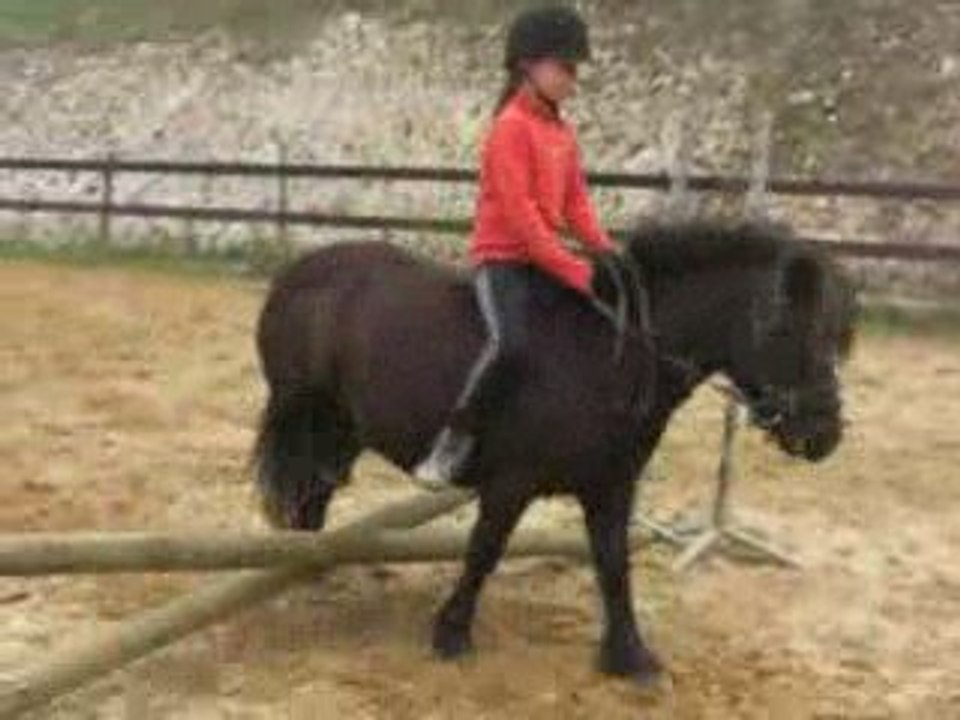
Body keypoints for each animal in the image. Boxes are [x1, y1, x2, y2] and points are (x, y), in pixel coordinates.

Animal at [252, 217, 858, 685]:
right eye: (782, 328)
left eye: (832, 333)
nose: (824, 436)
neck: (611, 353)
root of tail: (299, 272)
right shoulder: (510, 483)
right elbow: (484, 551)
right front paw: (451, 634)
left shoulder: (612, 485)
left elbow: (613, 563)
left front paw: (629, 656)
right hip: (307, 411)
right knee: (307, 484)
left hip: (341, 425)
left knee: (318, 486)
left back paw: (311, 563)